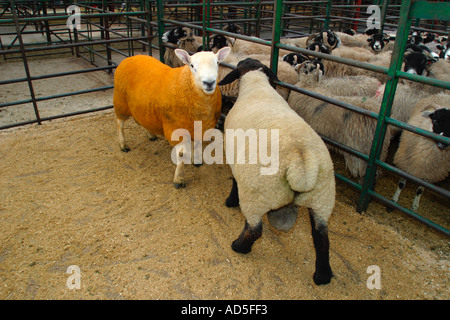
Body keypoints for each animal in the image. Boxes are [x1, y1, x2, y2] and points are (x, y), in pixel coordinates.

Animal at [112, 47, 232, 188]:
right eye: (192, 66)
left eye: (217, 63)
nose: (209, 82)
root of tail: (130, 58)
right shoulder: (176, 128)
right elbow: (181, 154)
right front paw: (179, 179)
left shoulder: (200, 127)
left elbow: (197, 145)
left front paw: (196, 161)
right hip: (121, 102)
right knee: (120, 124)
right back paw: (123, 144)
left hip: (141, 107)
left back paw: (150, 134)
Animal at [218, 57, 334, 284]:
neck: (256, 85)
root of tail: (300, 163)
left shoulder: (234, 157)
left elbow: (234, 181)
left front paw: (230, 201)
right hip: (322, 200)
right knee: (321, 238)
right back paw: (322, 276)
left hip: (256, 196)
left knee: (255, 230)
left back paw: (239, 246)